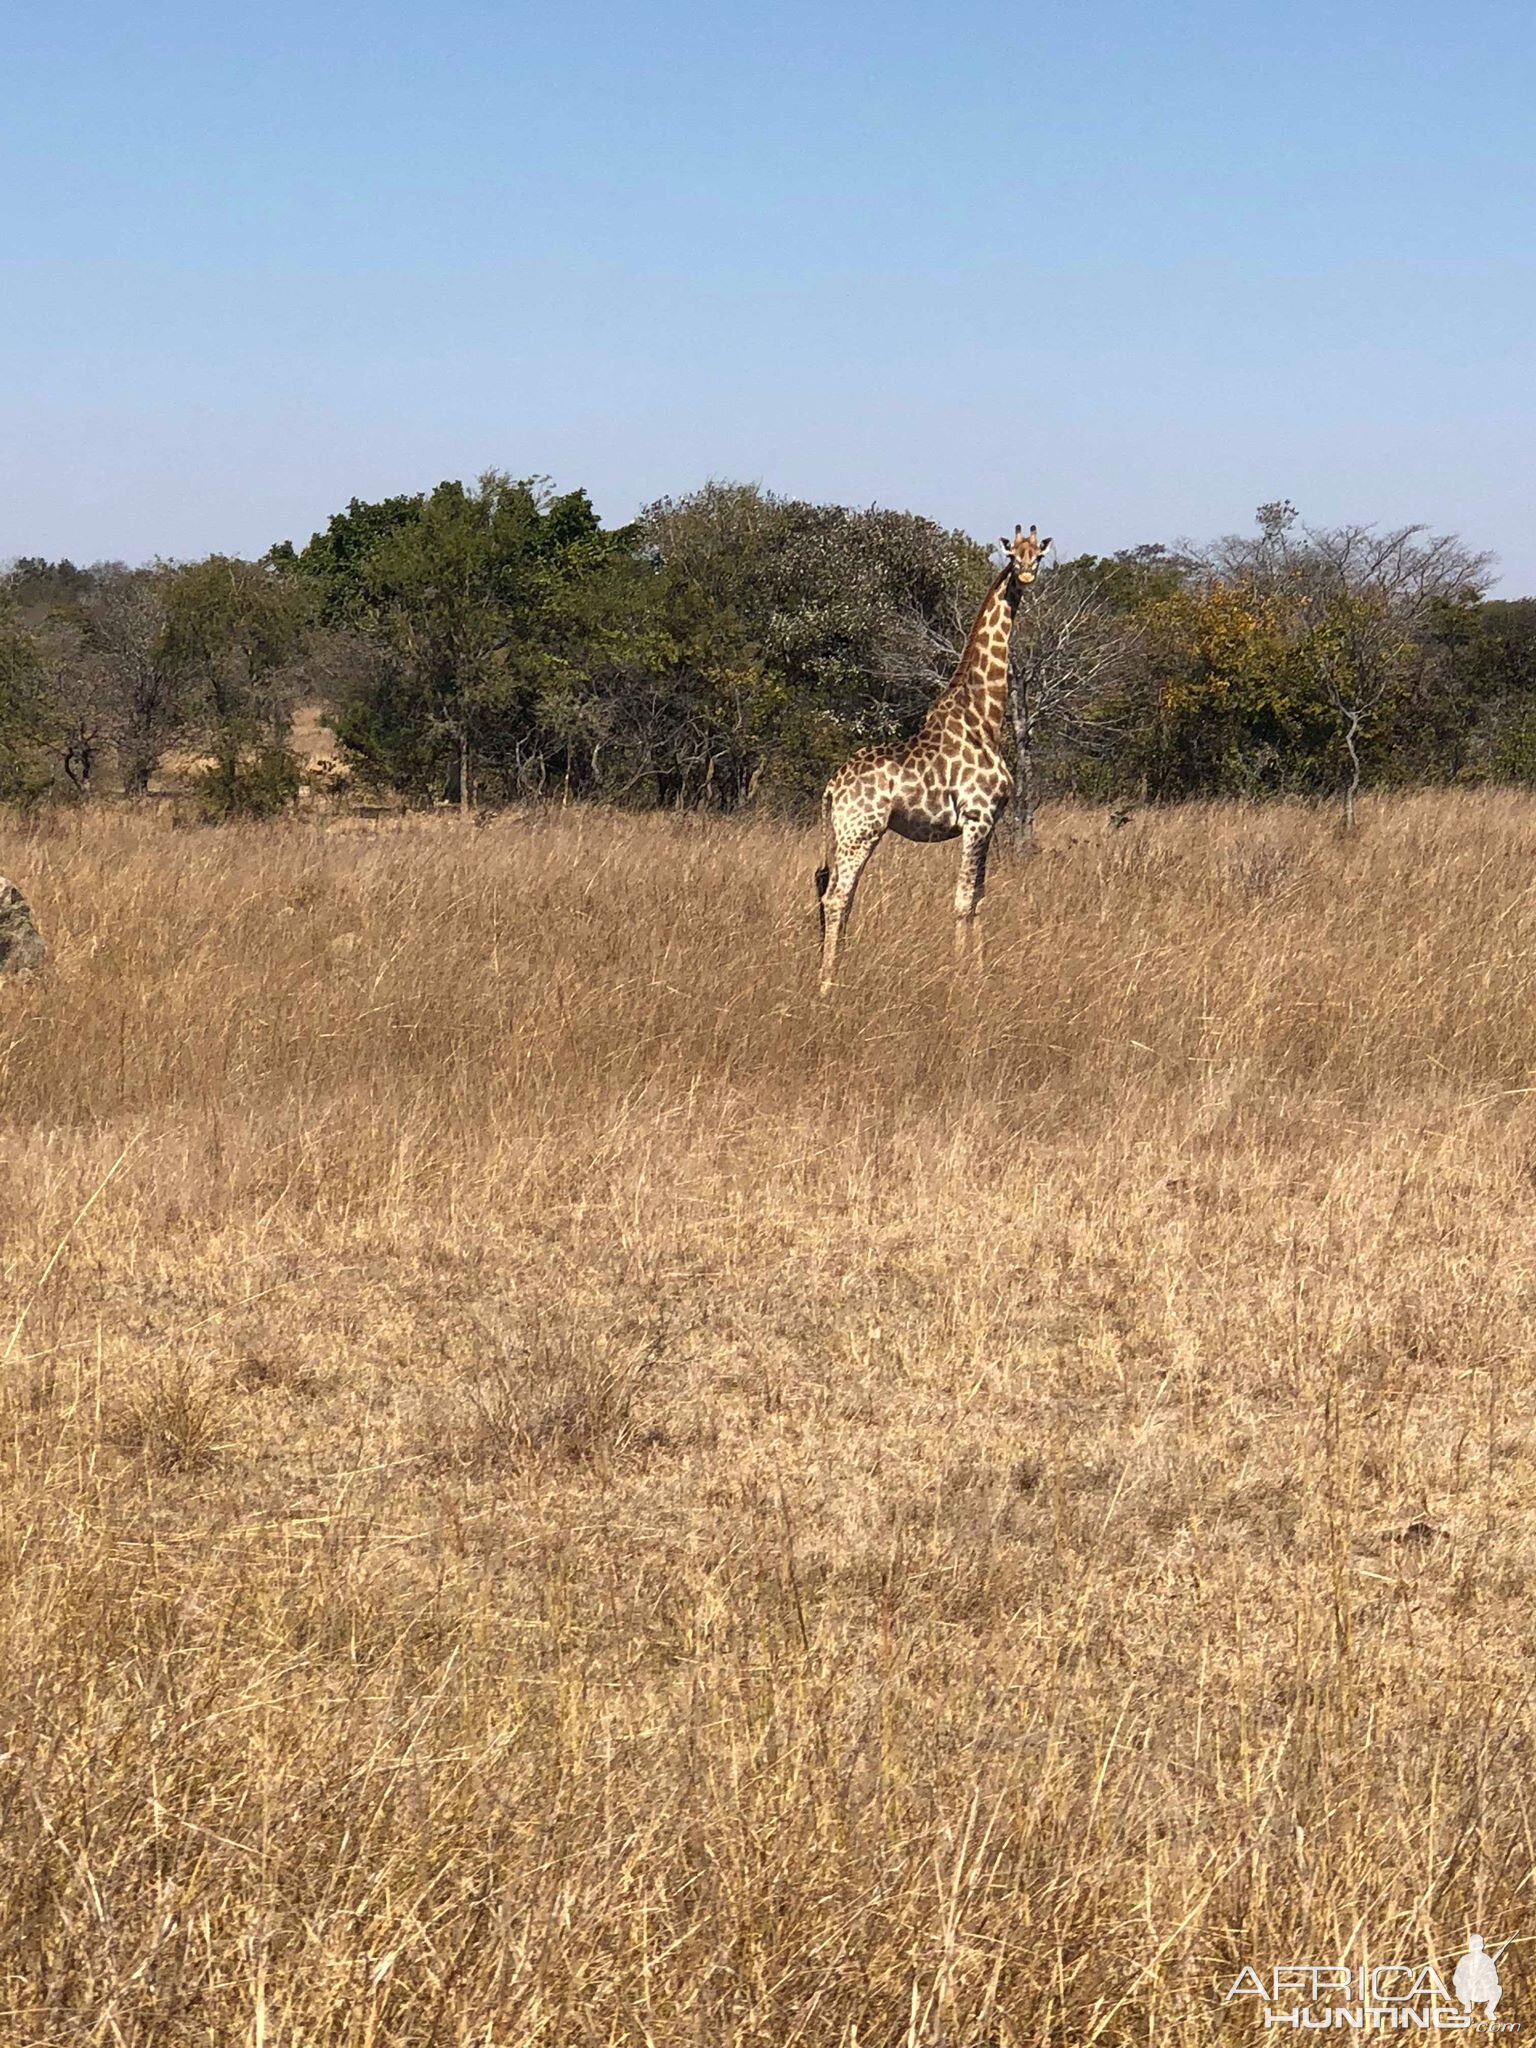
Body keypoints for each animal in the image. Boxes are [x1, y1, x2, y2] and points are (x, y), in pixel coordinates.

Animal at [819, 516, 1056, 987]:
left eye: (1038, 553)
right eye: (1011, 552)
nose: (1025, 575)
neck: (984, 716)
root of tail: (832, 789)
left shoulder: (991, 820)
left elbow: (979, 897)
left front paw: (978, 973)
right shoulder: (977, 816)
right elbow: (963, 902)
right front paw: (961, 978)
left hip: (847, 834)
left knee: (840, 897)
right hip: (860, 831)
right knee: (837, 898)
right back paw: (827, 984)